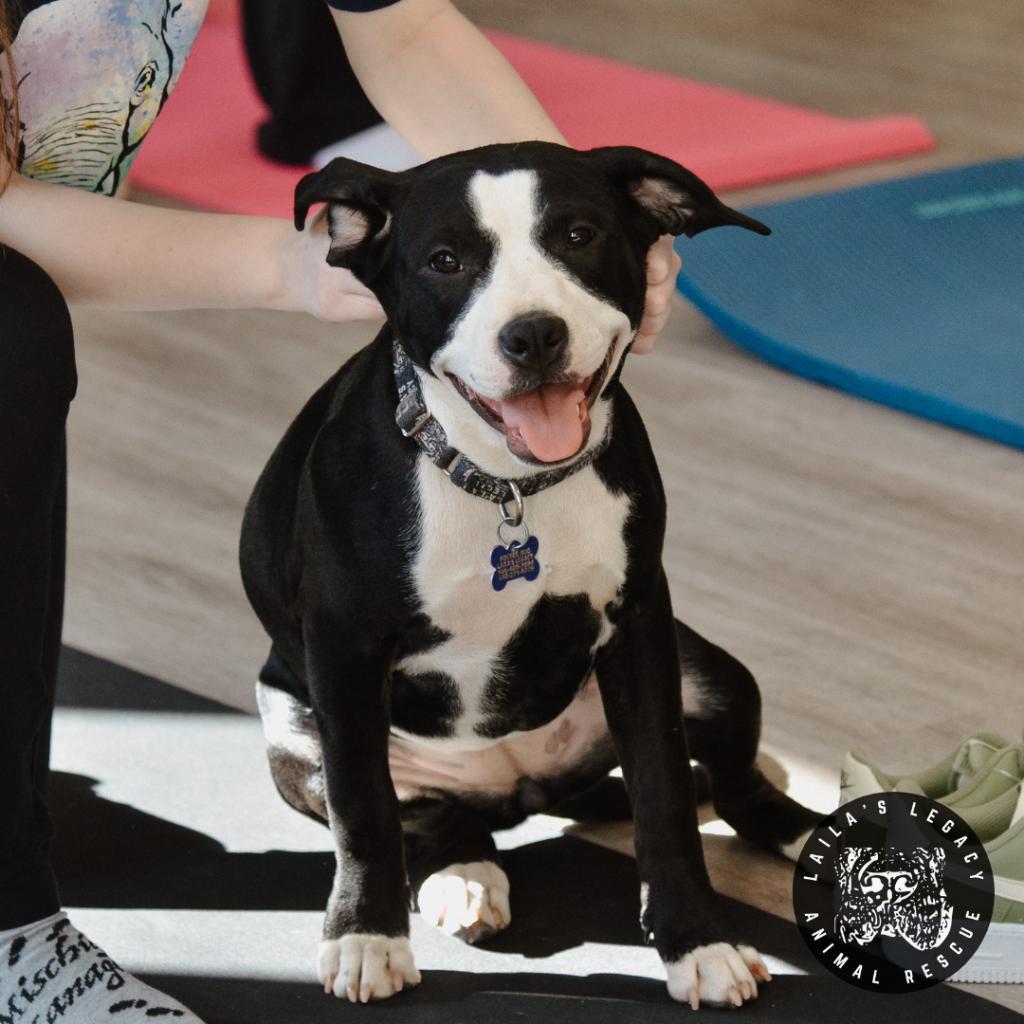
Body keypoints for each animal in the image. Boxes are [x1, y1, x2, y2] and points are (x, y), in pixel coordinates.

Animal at [237, 142, 815, 1007]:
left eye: (578, 236)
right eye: (444, 261)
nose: (534, 335)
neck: (505, 485)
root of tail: (524, 790)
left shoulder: (640, 627)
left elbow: (667, 798)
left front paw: (697, 942)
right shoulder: (343, 651)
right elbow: (365, 813)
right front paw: (366, 937)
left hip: (711, 672)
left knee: (738, 783)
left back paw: (810, 832)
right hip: (294, 734)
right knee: (427, 818)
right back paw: (465, 877)